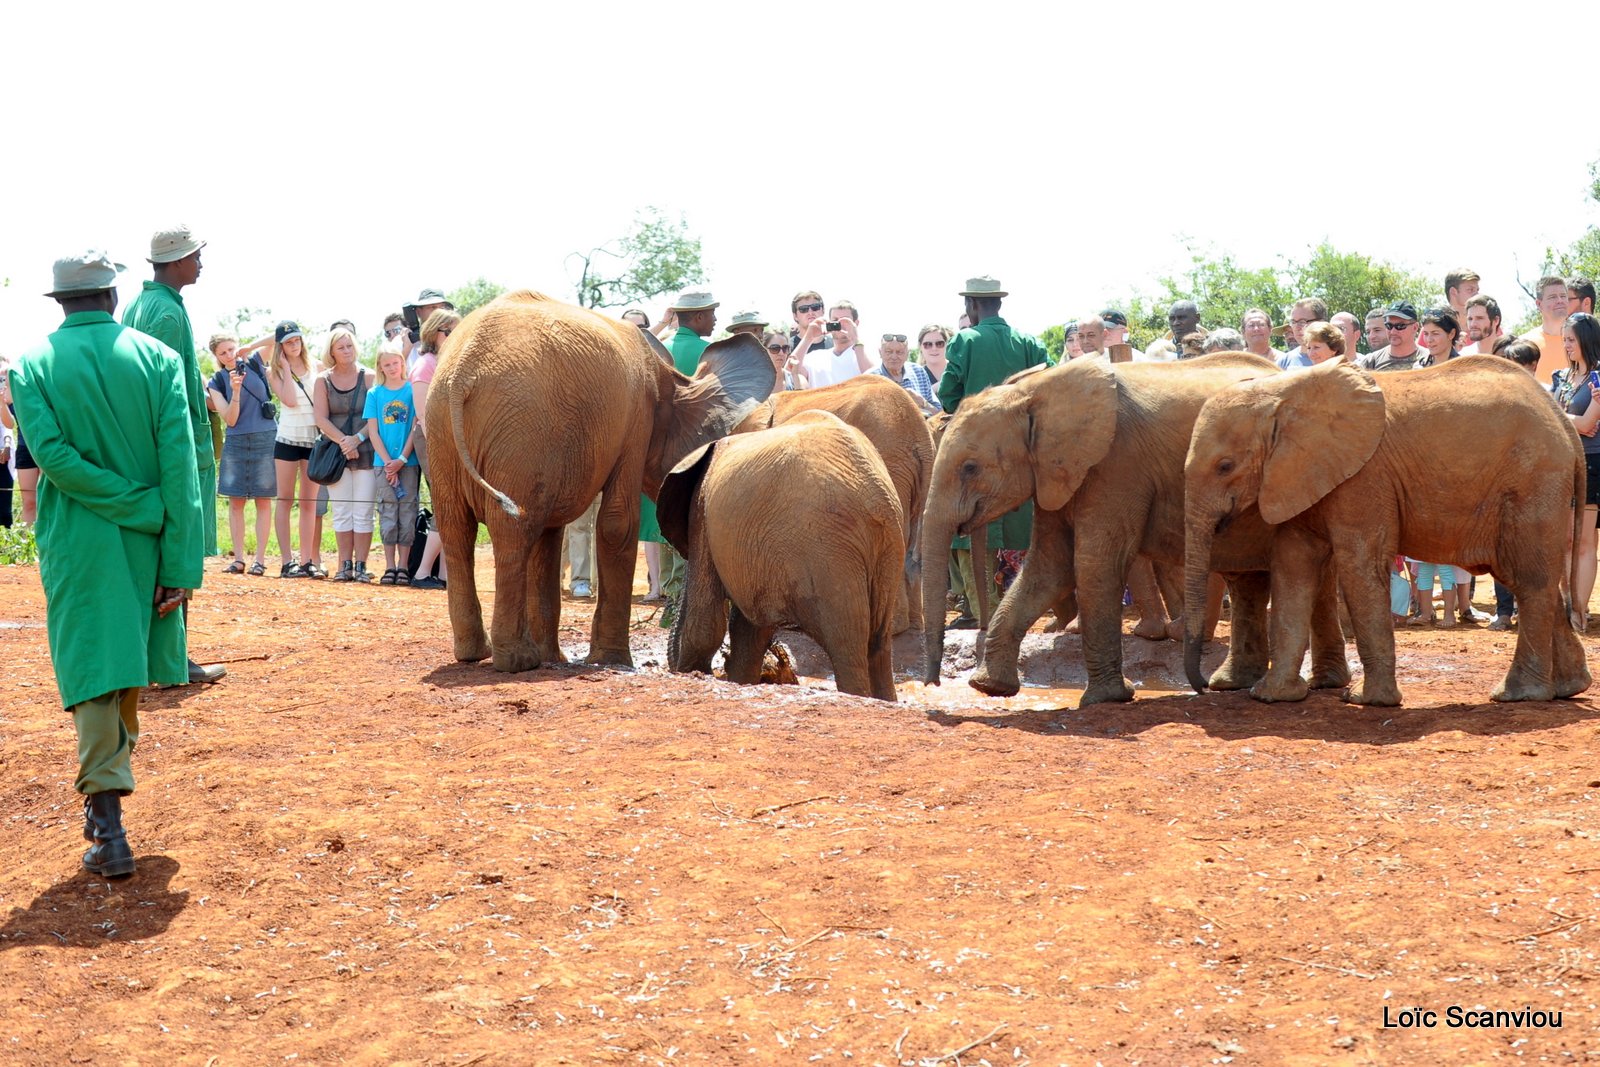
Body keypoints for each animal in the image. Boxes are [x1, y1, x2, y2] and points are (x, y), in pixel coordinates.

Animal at [656, 409, 908, 700]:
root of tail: (875, 498)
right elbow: (748, 632)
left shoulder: (702, 511)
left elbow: (705, 624)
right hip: (888, 552)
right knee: (878, 644)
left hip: (829, 555)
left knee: (847, 644)